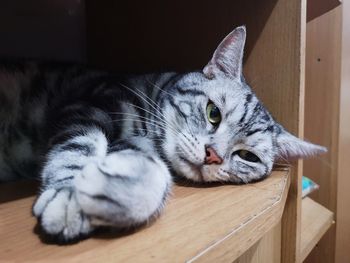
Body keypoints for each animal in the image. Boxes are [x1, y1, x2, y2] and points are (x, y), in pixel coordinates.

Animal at [0, 26, 326, 243]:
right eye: (213, 113)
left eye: (247, 156)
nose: (212, 156)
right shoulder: (88, 104)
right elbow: (78, 146)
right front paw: (69, 194)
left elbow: (152, 176)